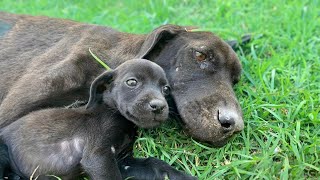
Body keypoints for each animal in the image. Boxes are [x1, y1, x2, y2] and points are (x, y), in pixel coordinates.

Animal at [0, 58, 192, 179]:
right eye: (132, 82)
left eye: (166, 89)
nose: (158, 106)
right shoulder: (98, 157)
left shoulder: (124, 161)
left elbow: (157, 165)